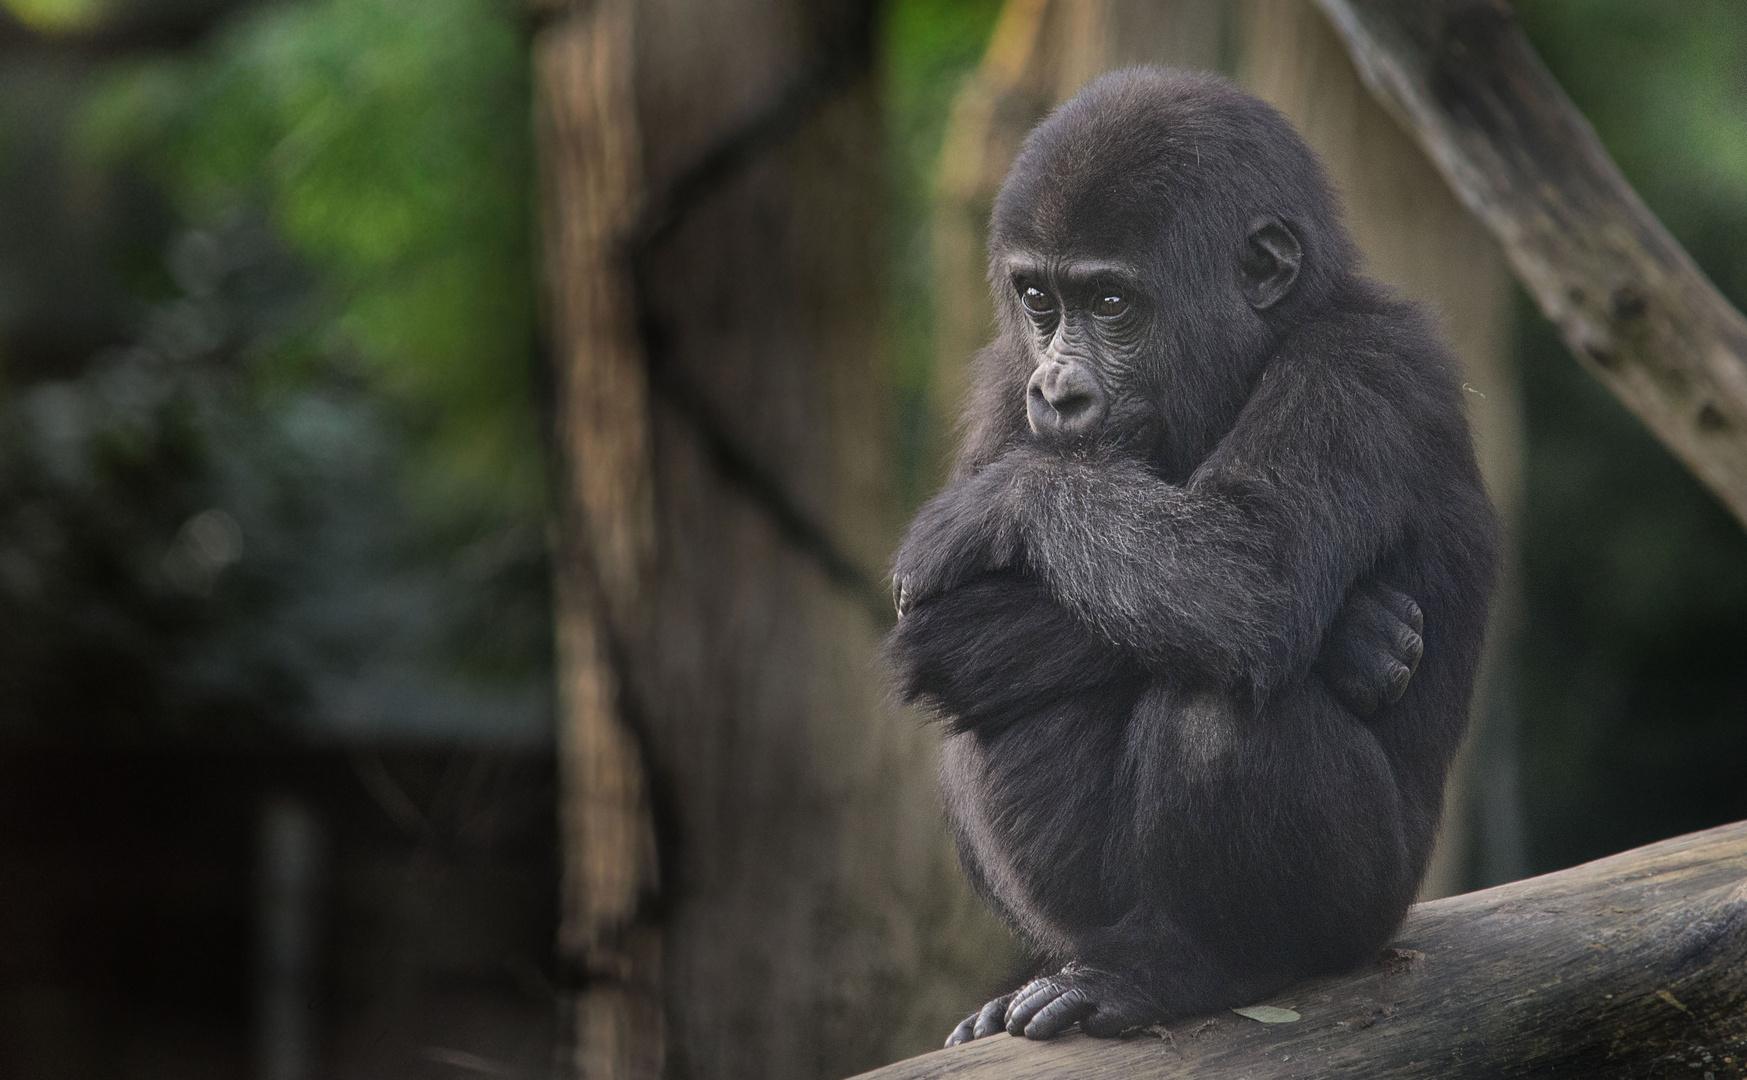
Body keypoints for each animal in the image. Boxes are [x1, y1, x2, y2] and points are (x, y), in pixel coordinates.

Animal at [887, 69, 1502, 1041]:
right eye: (1038, 301)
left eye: (1110, 303)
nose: (1057, 391)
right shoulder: (999, 381)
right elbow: (970, 628)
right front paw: (1365, 636)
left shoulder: (1368, 368)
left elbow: (1249, 572)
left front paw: (989, 507)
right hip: (1079, 925)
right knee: (993, 692)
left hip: (1375, 912)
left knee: (1216, 714)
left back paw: (1198, 967)